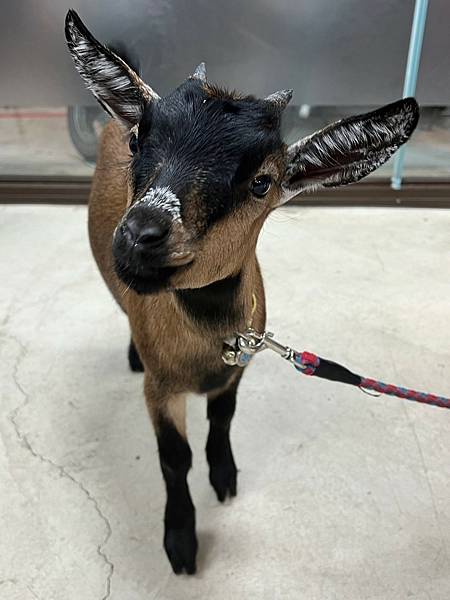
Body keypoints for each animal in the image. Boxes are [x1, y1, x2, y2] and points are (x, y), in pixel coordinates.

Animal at [66, 8, 418, 572]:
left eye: (262, 182)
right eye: (141, 141)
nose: (140, 235)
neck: (210, 342)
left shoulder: (237, 371)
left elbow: (223, 419)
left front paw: (225, 476)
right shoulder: (160, 389)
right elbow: (174, 458)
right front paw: (181, 540)